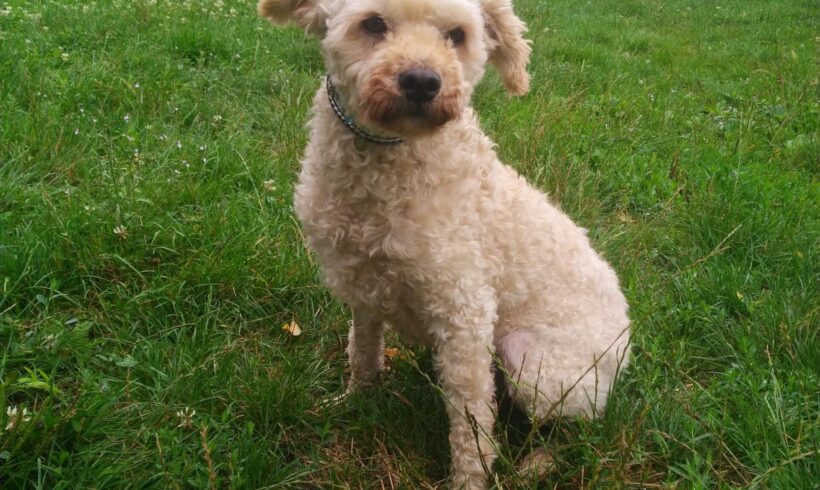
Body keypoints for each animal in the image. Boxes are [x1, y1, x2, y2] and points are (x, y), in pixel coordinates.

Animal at [258, 0, 630, 487]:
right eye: (373, 24)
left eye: (457, 35)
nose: (422, 81)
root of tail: (626, 343)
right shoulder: (364, 286)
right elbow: (363, 352)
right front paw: (354, 401)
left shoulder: (464, 314)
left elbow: (470, 421)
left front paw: (469, 479)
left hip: (537, 365)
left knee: (582, 429)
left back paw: (541, 461)